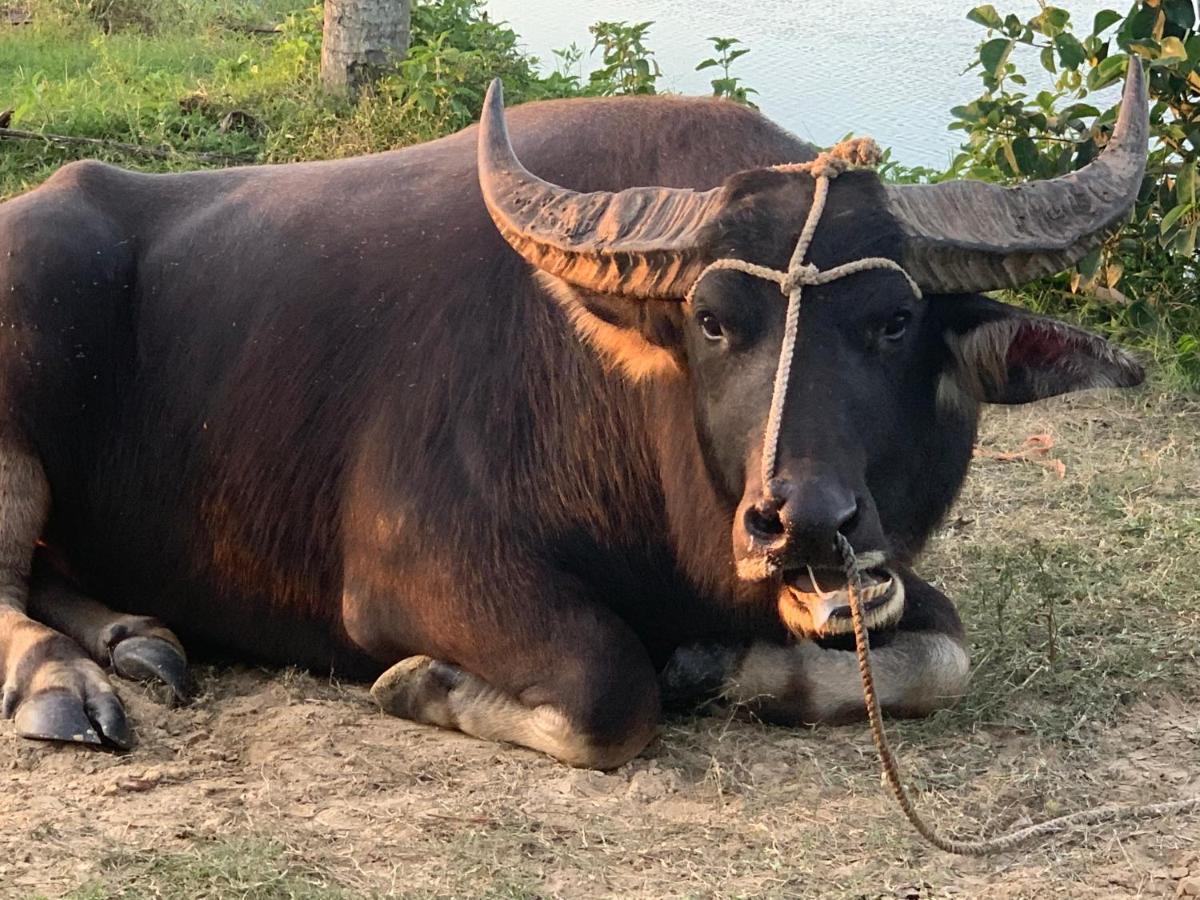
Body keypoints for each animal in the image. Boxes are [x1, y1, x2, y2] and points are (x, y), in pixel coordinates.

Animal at [0, 63, 1147, 768]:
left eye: (896, 321)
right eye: (713, 321)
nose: (803, 522)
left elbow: (945, 652)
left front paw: (718, 667)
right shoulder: (414, 570)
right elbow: (608, 688)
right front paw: (421, 683)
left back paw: (140, 639)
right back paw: (62, 685)